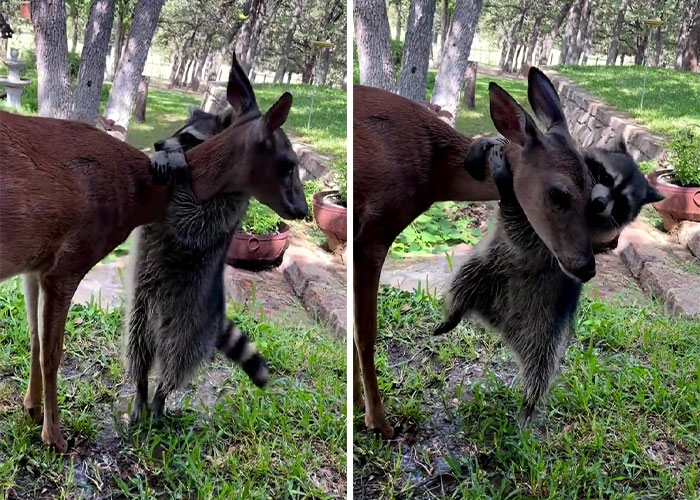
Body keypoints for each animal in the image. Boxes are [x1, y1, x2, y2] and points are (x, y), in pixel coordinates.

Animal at [127, 107, 267, 423]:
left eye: (189, 138)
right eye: (178, 130)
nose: (158, 143)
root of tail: (216, 317)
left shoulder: (229, 203)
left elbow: (196, 220)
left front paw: (181, 174)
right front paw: (160, 159)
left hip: (190, 325)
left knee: (177, 362)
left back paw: (160, 395)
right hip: (142, 310)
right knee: (137, 347)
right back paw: (141, 387)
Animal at [353, 67, 596, 439]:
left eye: (594, 185)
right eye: (559, 194)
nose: (587, 266)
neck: (432, 171)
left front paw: (356, 403)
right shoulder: (373, 232)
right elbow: (365, 333)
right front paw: (378, 422)